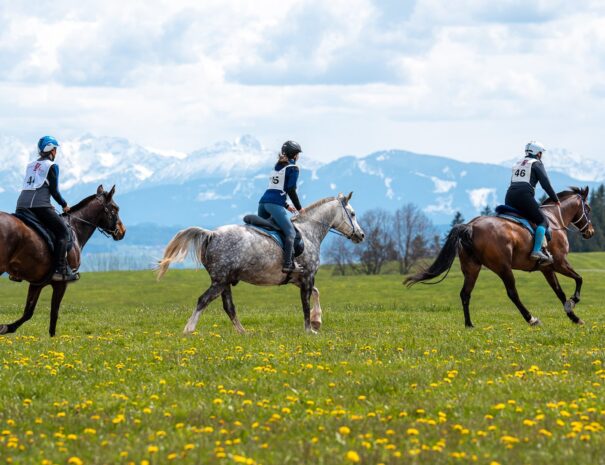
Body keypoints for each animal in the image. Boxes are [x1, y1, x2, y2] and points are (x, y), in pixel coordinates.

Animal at [0, 186, 125, 338]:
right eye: (115, 208)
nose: (122, 231)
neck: (75, 228)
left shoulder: (37, 283)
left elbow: (28, 312)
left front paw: (6, 327)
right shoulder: (61, 283)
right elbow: (54, 313)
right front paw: (53, 338)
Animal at [156, 192, 364, 334]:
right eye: (353, 214)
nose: (361, 235)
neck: (308, 232)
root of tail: (212, 234)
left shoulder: (299, 278)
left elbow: (316, 292)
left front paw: (317, 321)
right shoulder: (307, 276)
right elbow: (306, 303)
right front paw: (310, 328)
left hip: (225, 282)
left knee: (229, 307)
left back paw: (243, 333)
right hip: (220, 281)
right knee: (203, 300)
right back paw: (189, 330)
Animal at [406, 187, 596, 324]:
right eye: (588, 208)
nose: (591, 232)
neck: (555, 218)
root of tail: (471, 226)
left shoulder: (547, 268)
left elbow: (559, 292)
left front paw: (573, 316)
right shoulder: (559, 263)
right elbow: (579, 279)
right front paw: (574, 301)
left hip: (472, 268)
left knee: (465, 294)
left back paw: (469, 324)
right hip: (503, 267)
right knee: (512, 293)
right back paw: (531, 319)